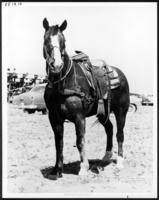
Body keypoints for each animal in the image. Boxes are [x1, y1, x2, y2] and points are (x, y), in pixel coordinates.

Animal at [42, 18, 130, 179]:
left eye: (63, 40)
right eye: (46, 39)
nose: (56, 65)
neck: (63, 83)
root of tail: (120, 74)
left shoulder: (79, 117)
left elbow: (80, 141)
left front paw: (83, 168)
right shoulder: (54, 117)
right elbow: (59, 142)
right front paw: (57, 170)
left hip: (121, 111)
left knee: (120, 133)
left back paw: (119, 163)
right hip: (102, 113)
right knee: (109, 129)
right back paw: (106, 157)